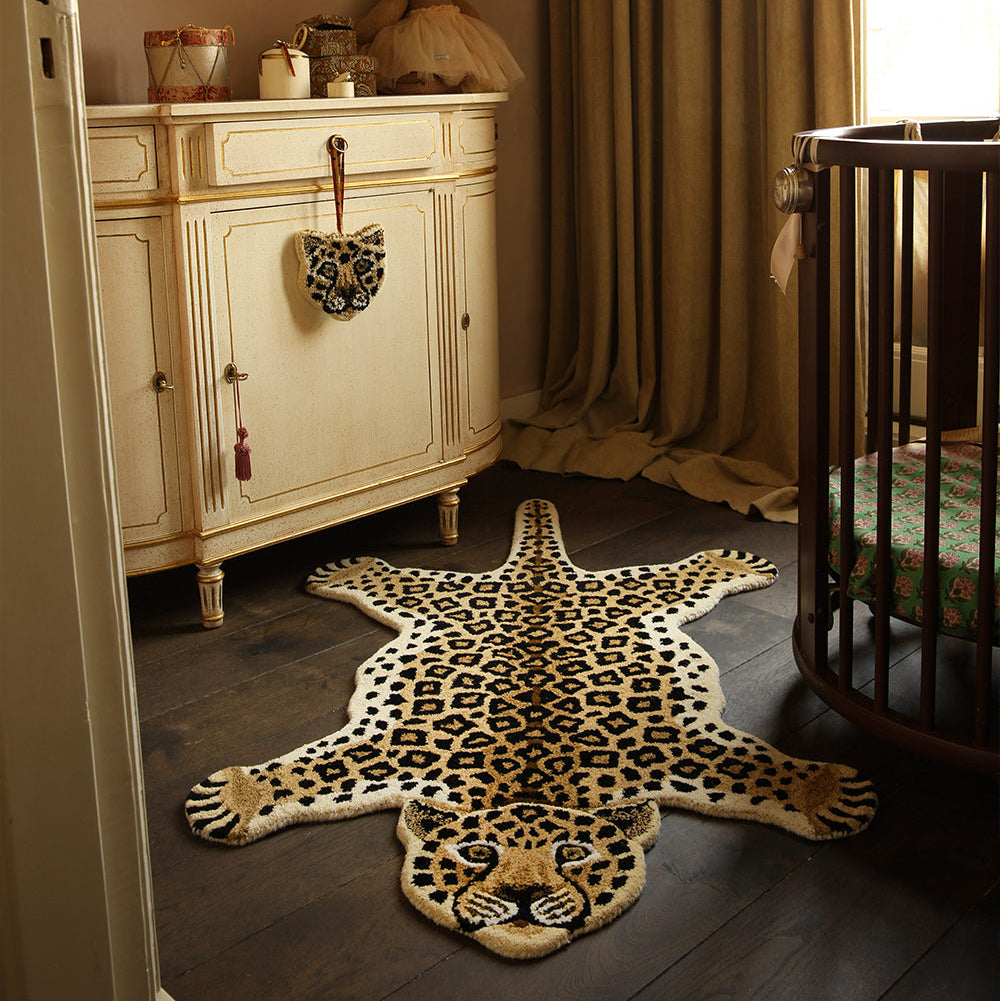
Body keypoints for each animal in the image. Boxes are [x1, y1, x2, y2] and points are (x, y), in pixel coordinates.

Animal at [186, 498, 877, 957]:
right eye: (475, 854)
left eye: (573, 854)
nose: (521, 901)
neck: (529, 778)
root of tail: (539, 572)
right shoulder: (395, 751)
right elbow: (314, 770)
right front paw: (236, 797)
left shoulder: (671, 749)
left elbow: (753, 768)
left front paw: (824, 791)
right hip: (434, 599)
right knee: (400, 580)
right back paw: (349, 570)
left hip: (641, 595)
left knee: (675, 574)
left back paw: (728, 558)